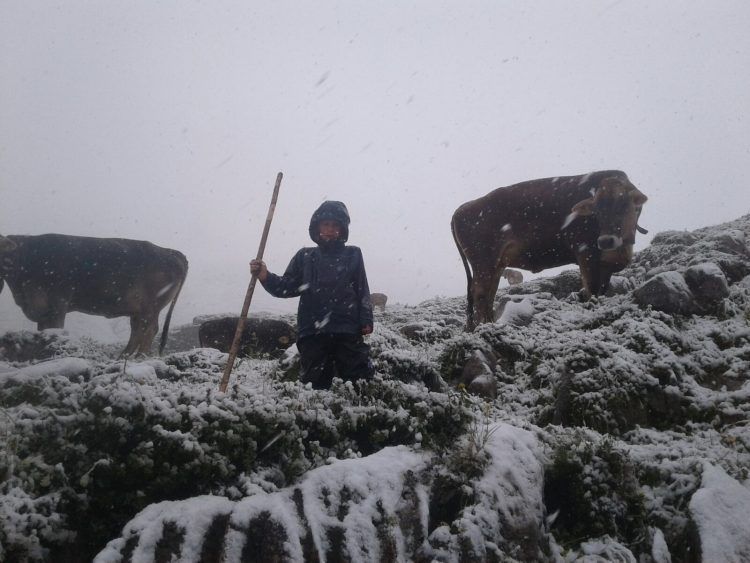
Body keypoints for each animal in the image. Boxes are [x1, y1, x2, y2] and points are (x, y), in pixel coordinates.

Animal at [0, 234, 188, 356]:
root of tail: (171, 251)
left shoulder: (57, 305)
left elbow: (54, 330)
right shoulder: (42, 309)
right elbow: (43, 331)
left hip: (151, 307)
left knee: (149, 329)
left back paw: (139, 358)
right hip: (137, 309)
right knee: (137, 330)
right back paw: (124, 357)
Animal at [450, 171, 648, 330]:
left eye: (625, 205)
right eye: (597, 210)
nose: (606, 240)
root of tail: (463, 208)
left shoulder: (606, 266)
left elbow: (603, 289)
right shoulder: (585, 254)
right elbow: (591, 289)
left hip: (496, 266)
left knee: (489, 294)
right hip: (484, 262)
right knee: (480, 293)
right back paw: (483, 327)